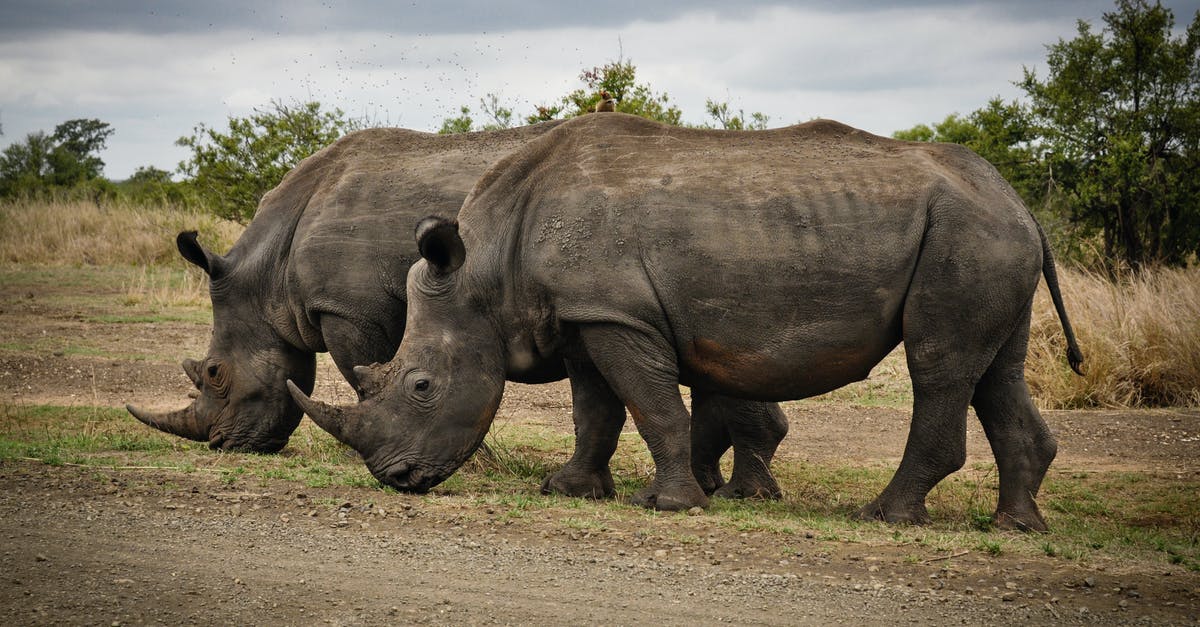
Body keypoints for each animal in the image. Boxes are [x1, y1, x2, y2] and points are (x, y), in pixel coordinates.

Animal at [290, 113, 1089, 526]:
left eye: (421, 386)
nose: (396, 477)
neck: (486, 270)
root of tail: (1020, 202)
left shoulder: (618, 315)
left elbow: (650, 405)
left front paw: (671, 504)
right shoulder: (585, 315)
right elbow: (595, 409)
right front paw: (569, 489)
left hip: (968, 236)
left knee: (939, 365)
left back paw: (885, 516)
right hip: (985, 235)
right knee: (995, 370)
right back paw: (1016, 524)